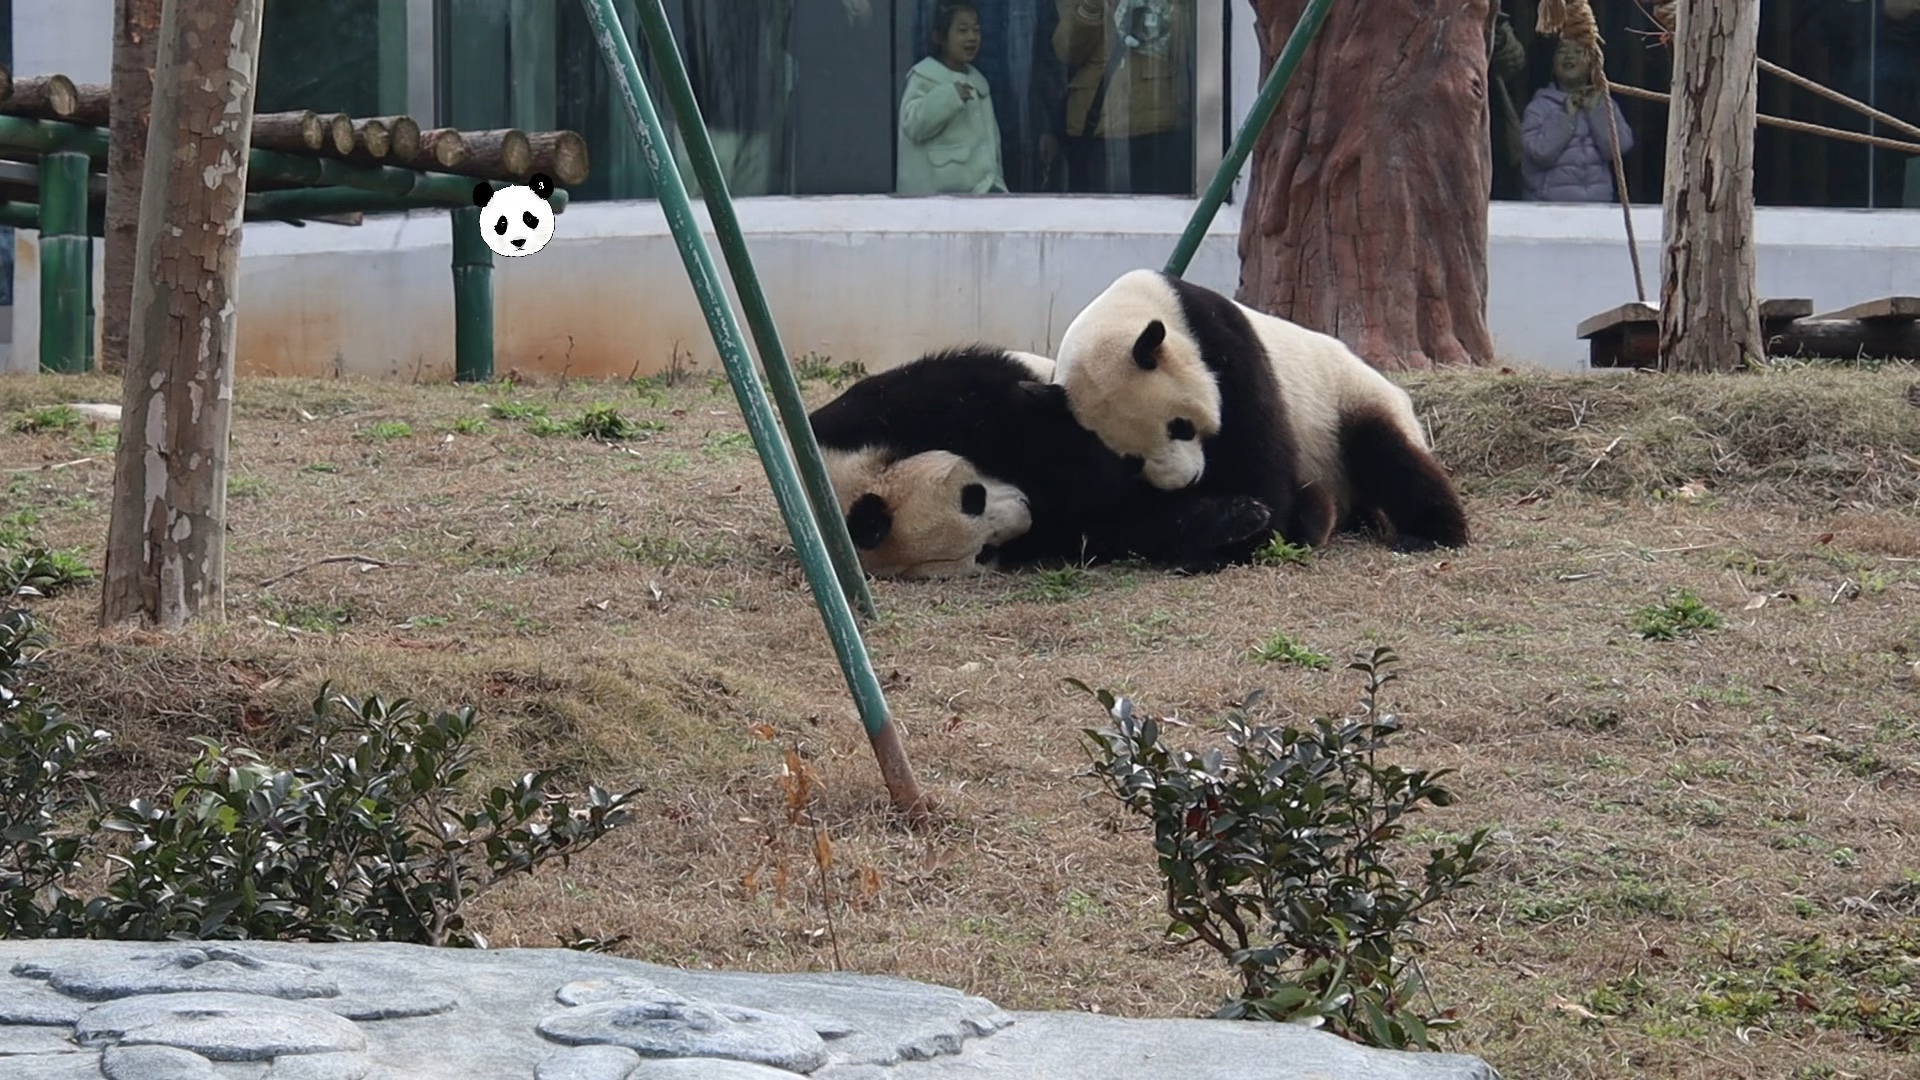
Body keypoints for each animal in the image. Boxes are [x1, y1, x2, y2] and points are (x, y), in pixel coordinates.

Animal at [806, 343, 1274, 580]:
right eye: (985, 552)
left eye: (971, 498)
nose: (1025, 512)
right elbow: (1111, 523)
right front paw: (1232, 517)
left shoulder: (882, 411)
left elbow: (1001, 406)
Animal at [1052, 269, 1466, 557]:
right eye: (1134, 461)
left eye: (1179, 427)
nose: (1188, 481)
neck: (1130, 309)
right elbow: (1111, 511)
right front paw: (1231, 522)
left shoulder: (1223, 344)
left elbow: (1257, 454)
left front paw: (1255, 530)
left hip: (1347, 404)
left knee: (1387, 452)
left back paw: (1429, 534)